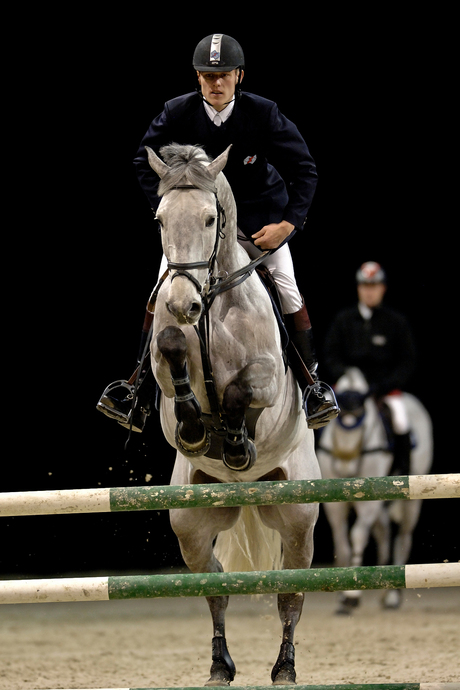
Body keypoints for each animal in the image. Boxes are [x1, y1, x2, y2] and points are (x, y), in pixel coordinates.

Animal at [146, 144, 320, 684]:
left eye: (209, 218)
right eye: (160, 220)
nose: (182, 303)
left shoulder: (268, 380)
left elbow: (243, 390)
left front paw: (237, 441)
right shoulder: (164, 378)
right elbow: (172, 353)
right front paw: (197, 429)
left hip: (298, 516)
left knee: (291, 592)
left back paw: (285, 667)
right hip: (191, 523)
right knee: (215, 589)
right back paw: (219, 665)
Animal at [316, 368, 432, 612]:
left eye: (362, 416)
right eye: (336, 418)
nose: (346, 461)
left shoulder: (369, 504)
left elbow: (358, 536)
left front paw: (352, 594)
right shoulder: (334, 506)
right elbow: (342, 544)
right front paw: (342, 597)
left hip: (411, 502)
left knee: (402, 539)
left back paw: (392, 596)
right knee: (384, 534)